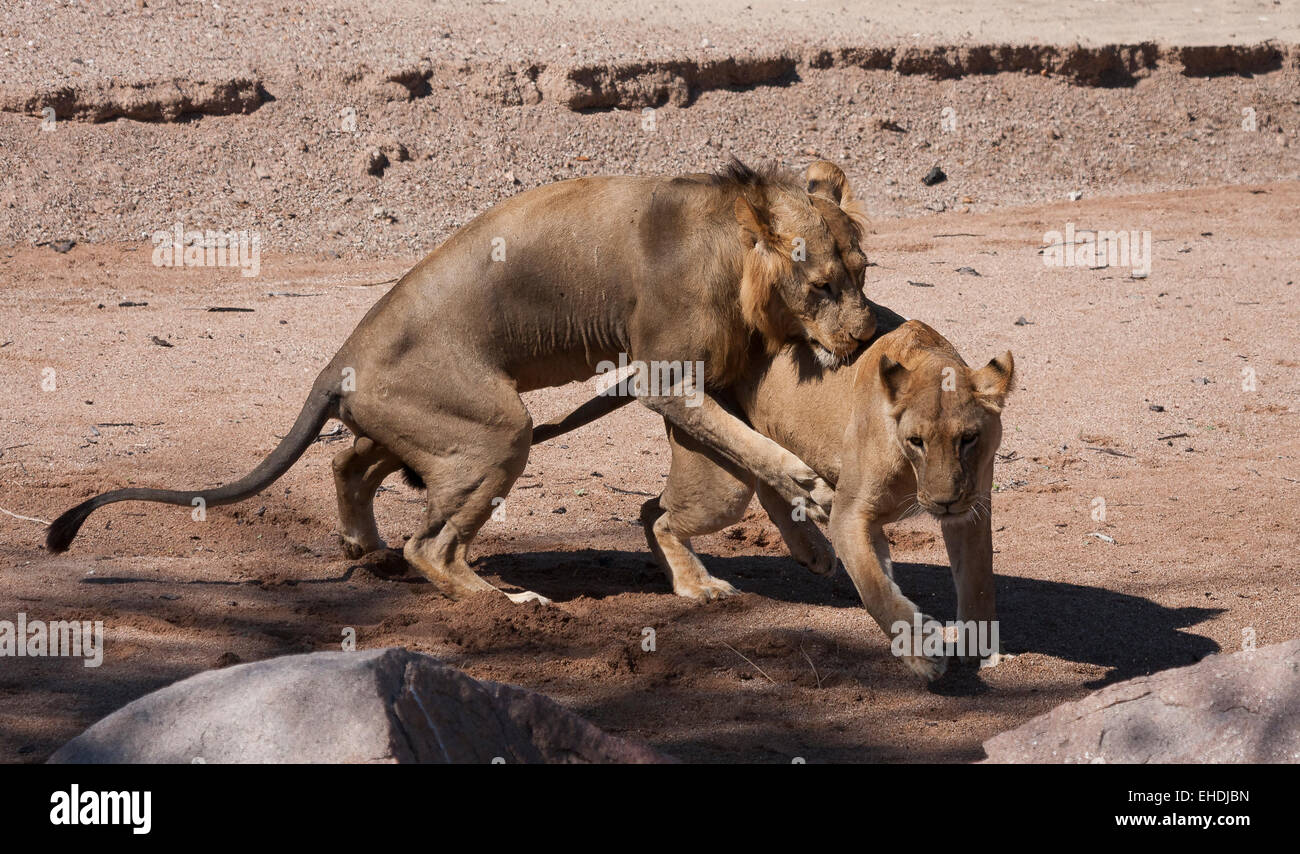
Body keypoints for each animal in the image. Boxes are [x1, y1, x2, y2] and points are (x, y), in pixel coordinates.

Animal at [53, 159, 883, 605]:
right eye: (822, 288)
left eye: (863, 274)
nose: (864, 338)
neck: (736, 253)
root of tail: (337, 360)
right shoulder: (664, 374)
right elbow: (756, 451)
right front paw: (810, 492)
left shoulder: (711, 377)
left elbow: (747, 455)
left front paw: (807, 542)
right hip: (496, 428)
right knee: (433, 546)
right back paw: (505, 603)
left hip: (424, 425)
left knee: (348, 462)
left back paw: (366, 548)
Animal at [533, 306, 1008, 681]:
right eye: (916, 441)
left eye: (968, 438)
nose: (943, 501)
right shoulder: (852, 514)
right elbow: (877, 588)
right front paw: (922, 654)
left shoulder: (972, 509)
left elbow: (979, 581)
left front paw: (980, 646)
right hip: (722, 485)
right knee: (658, 514)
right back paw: (700, 585)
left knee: (727, 491)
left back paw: (811, 551)